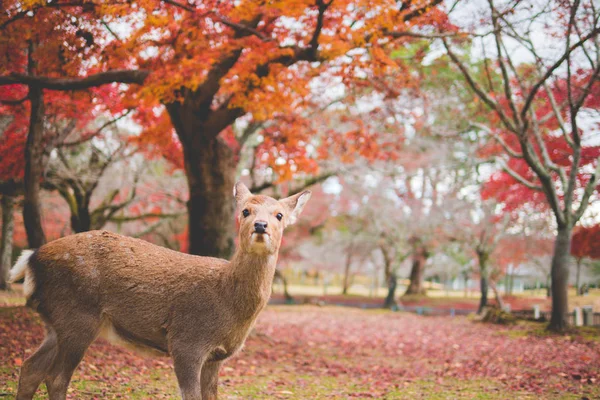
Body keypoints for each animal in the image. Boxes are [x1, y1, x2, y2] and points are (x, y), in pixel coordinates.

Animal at [9, 182, 312, 400]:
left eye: (279, 215)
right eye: (246, 211)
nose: (261, 226)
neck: (229, 305)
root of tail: (31, 260)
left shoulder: (216, 357)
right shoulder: (186, 342)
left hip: (56, 322)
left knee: (30, 368)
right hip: (78, 317)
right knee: (56, 378)